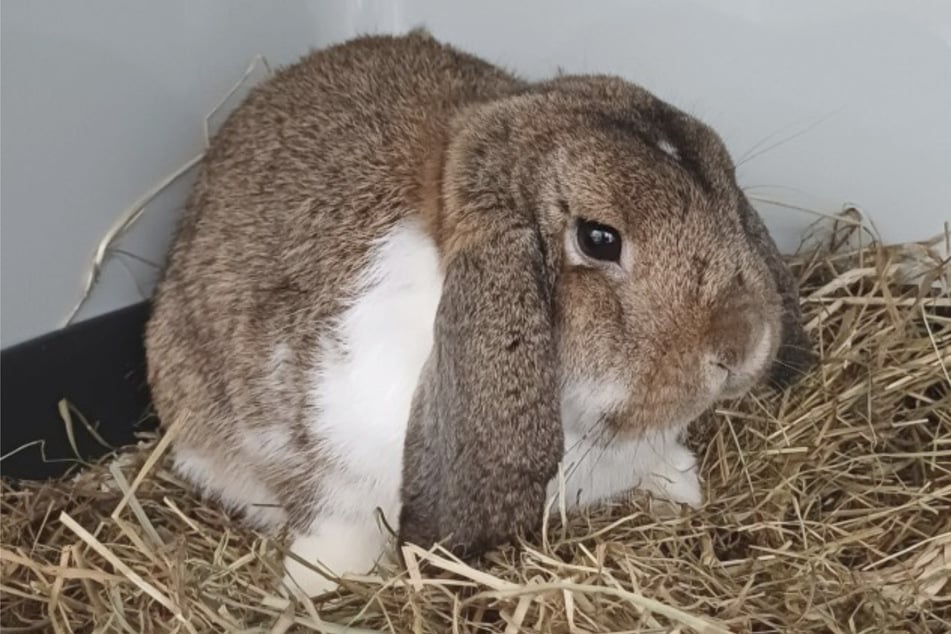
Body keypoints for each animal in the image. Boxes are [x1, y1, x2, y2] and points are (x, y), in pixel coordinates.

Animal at [144, 29, 813, 598]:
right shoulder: (332, 466)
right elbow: (334, 526)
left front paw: (682, 487)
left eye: (727, 183)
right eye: (599, 239)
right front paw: (317, 588)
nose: (742, 344)